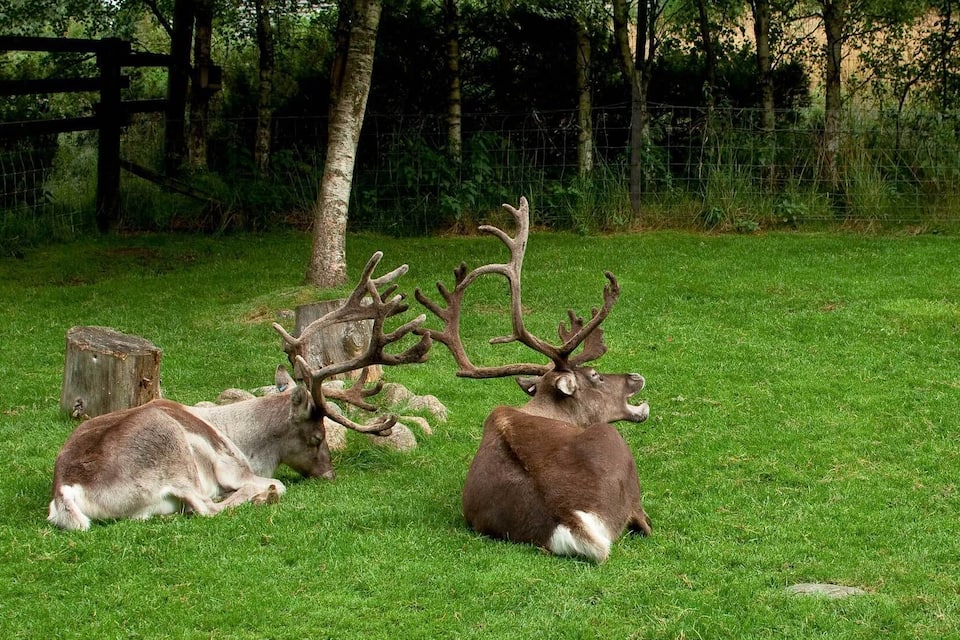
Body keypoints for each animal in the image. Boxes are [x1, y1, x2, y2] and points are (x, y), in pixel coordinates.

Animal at [48, 252, 431, 530]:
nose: (330, 474)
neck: (243, 439)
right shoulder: (232, 467)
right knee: (207, 508)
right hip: (173, 454)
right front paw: (267, 489)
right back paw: (264, 495)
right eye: (317, 437)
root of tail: (65, 490)